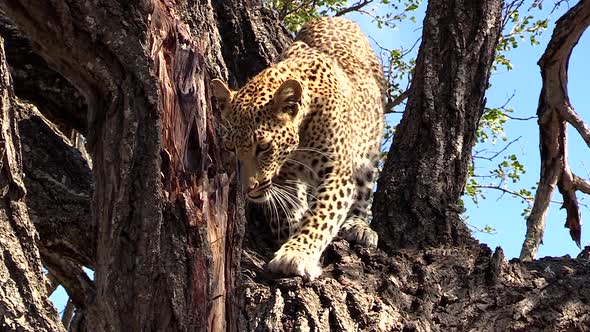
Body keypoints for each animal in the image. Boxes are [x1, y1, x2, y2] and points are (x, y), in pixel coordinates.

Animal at [213, 16, 388, 280]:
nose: (248, 189)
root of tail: (336, 17)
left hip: (369, 148)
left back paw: (359, 226)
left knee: (364, 188)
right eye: (231, 149)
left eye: (263, 147)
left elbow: (321, 216)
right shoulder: (285, 179)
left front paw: (296, 254)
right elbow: (288, 211)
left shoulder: (336, 174)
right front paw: (290, 235)